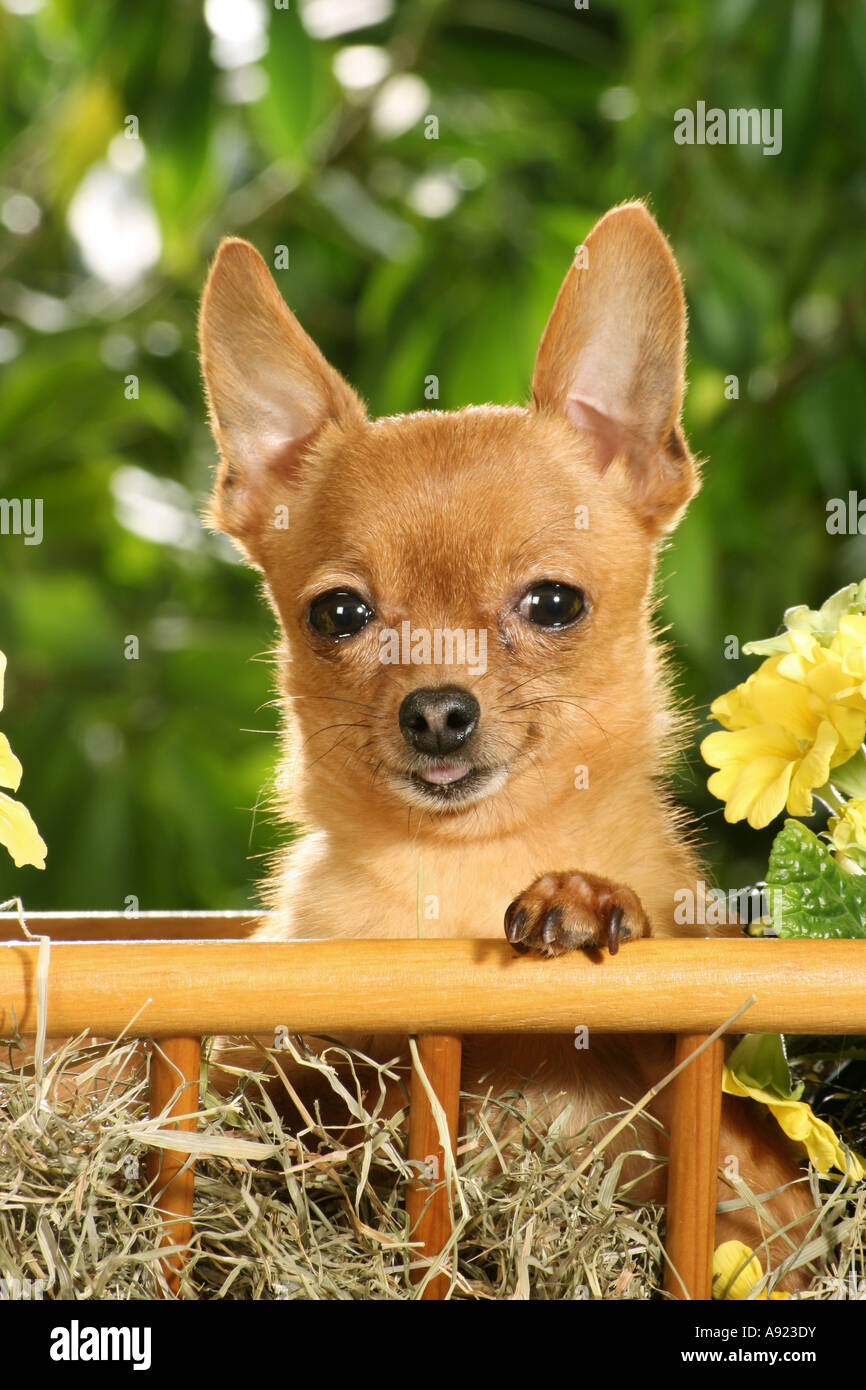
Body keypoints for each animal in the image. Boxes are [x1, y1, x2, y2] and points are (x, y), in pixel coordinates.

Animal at [198, 202, 817, 1289]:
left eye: (553, 603)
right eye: (339, 614)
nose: (438, 711)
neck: (463, 869)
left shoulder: (778, 1210)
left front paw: (584, 898)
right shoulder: (266, 1042)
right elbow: (280, 1084)